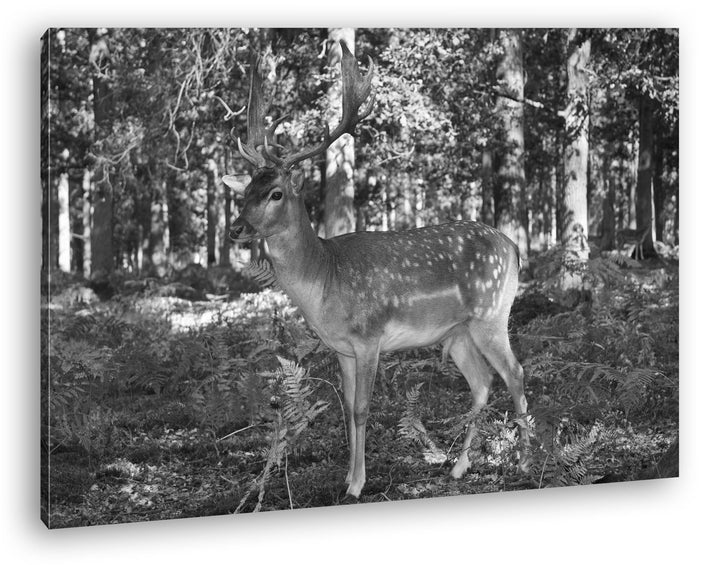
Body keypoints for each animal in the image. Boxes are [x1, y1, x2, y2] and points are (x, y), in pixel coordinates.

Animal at [222, 41, 530, 499]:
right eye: (245, 193)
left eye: (275, 193)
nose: (236, 228)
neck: (325, 279)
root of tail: (513, 247)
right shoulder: (340, 348)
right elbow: (346, 408)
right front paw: (346, 477)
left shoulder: (369, 338)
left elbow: (364, 409)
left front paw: (357, 485)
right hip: (457, 332)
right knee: (482, 382)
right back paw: (458, 468)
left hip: (492, 314)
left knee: (515, 373)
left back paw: (528, 460)